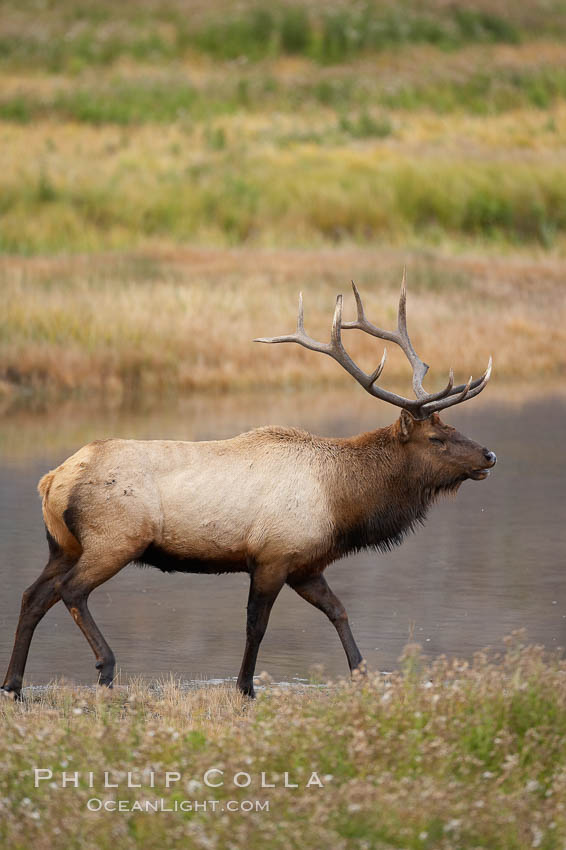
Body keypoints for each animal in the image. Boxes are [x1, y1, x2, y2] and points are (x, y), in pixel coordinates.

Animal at [1, 274, 496, 700]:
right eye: (436, 438)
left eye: (451, 427)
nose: (489, 456)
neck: (342, 505)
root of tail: (52, 480)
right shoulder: (273, 555)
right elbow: (257, 625)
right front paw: (245, 687)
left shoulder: (306, 563)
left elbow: (338, 610)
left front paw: (364, 673)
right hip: (116, 538)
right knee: (71, 590)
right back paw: (104, 667)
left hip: (63, 544)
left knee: (33, 596)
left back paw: (14, 684)